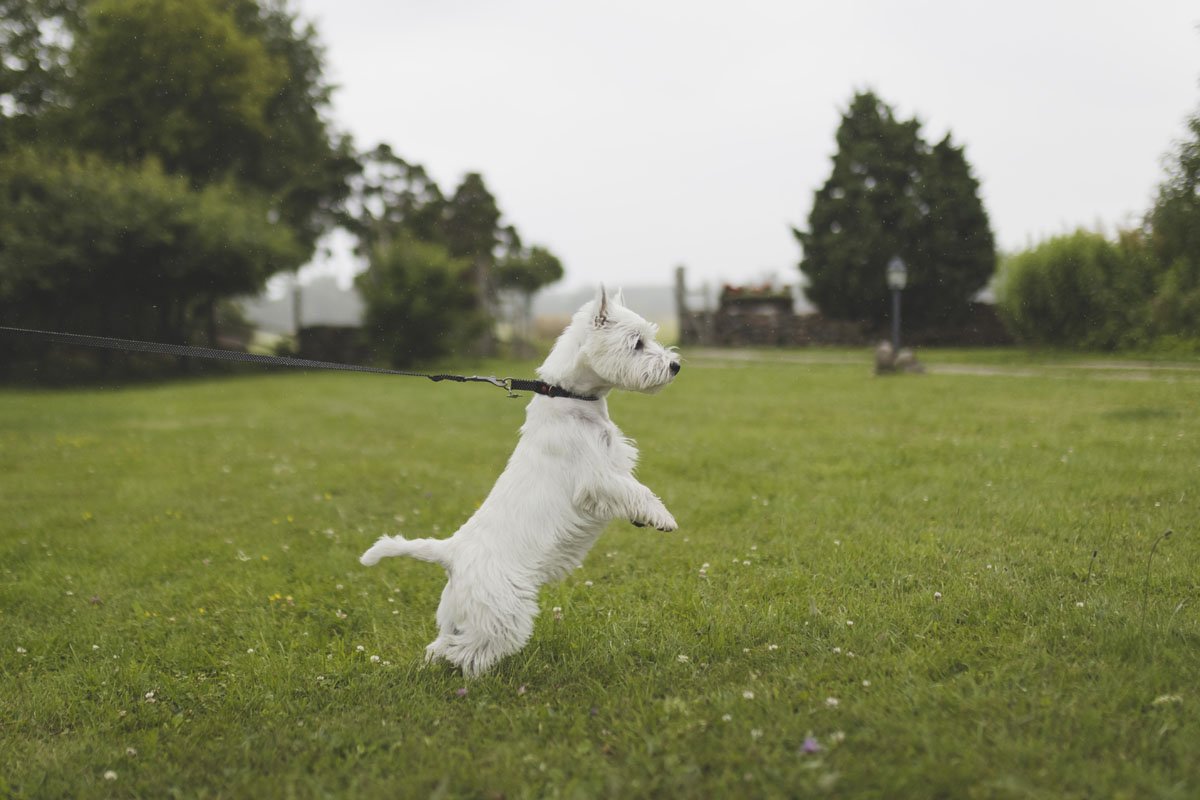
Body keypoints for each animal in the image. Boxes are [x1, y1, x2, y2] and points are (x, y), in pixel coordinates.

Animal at [355, 286, 681, 676]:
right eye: (637, 343)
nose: (675, 365)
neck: (569, 396)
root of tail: (451, 552)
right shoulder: (594, 478)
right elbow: (636, 489)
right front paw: (662, 518)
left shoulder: (613, 464)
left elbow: (631, 487)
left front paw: (643, 518)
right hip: (503, 610)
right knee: (467, 650)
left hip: (457, 611)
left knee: (440, 644)